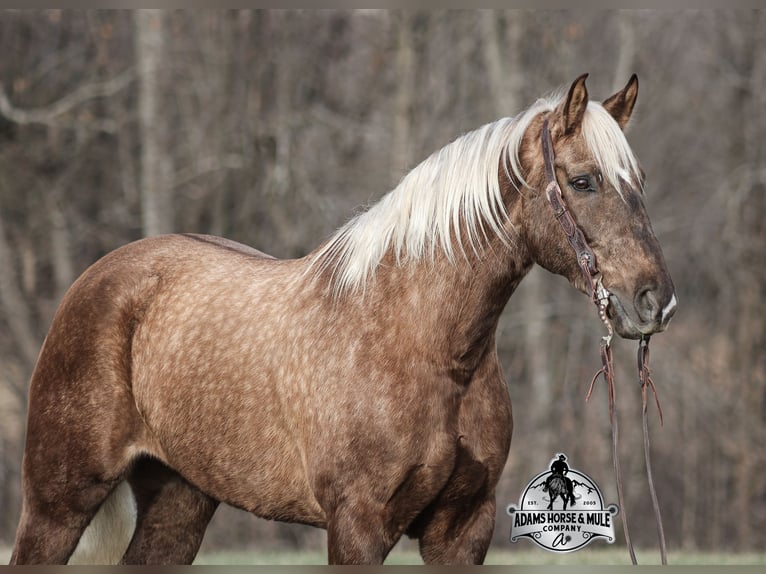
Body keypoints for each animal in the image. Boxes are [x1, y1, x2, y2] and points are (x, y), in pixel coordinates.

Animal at [10, 74, 676, 565]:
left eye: (642, 181)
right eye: (583, 182)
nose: (655, 301)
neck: (421, 346)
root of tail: (99, 278)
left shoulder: (463, 529)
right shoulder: (358, 524)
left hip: (180, 500)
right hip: (57, 503)